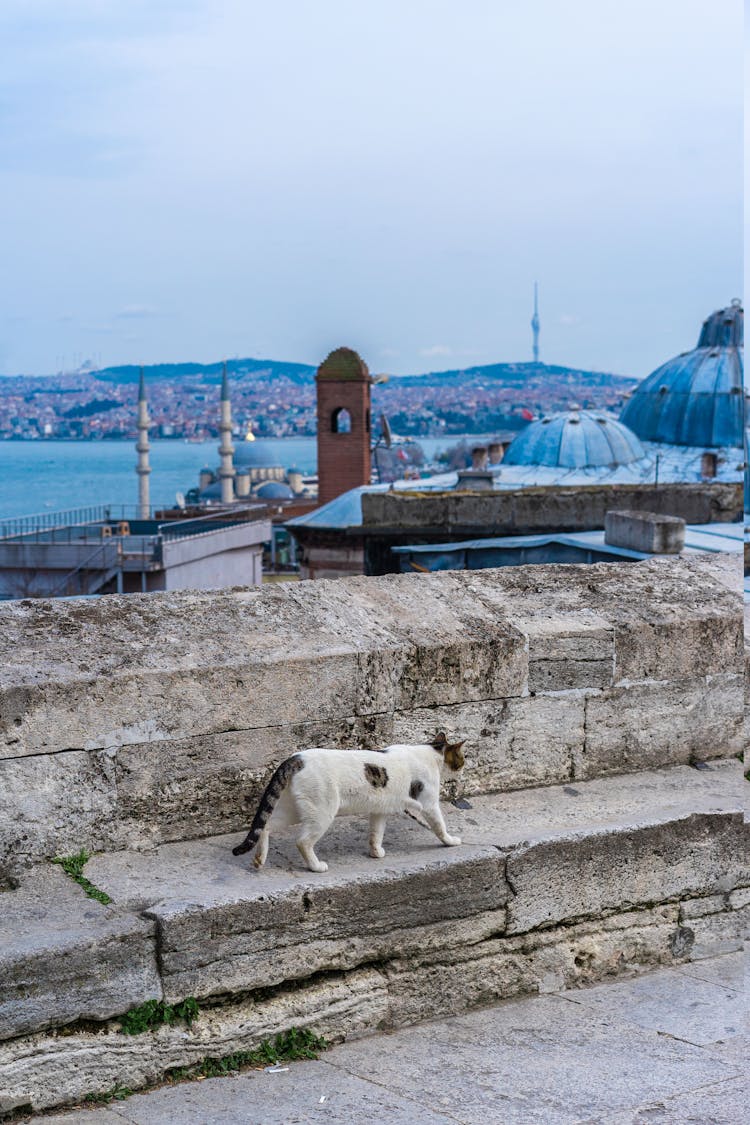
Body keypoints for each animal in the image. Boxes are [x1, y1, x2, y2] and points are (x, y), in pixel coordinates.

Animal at [231, 733, 465, 873]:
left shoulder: (379, 810)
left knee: (266, 826)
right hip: (322, 811)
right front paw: (450, 841)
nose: (463, 766)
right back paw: (316, 866)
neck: (432, 752)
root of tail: (296, 758)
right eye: (462, 758)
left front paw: (375, 853)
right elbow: (439, 826)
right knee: (302, 841)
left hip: (294, 809)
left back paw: (259, 859)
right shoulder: (430, 804)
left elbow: (376, 834)